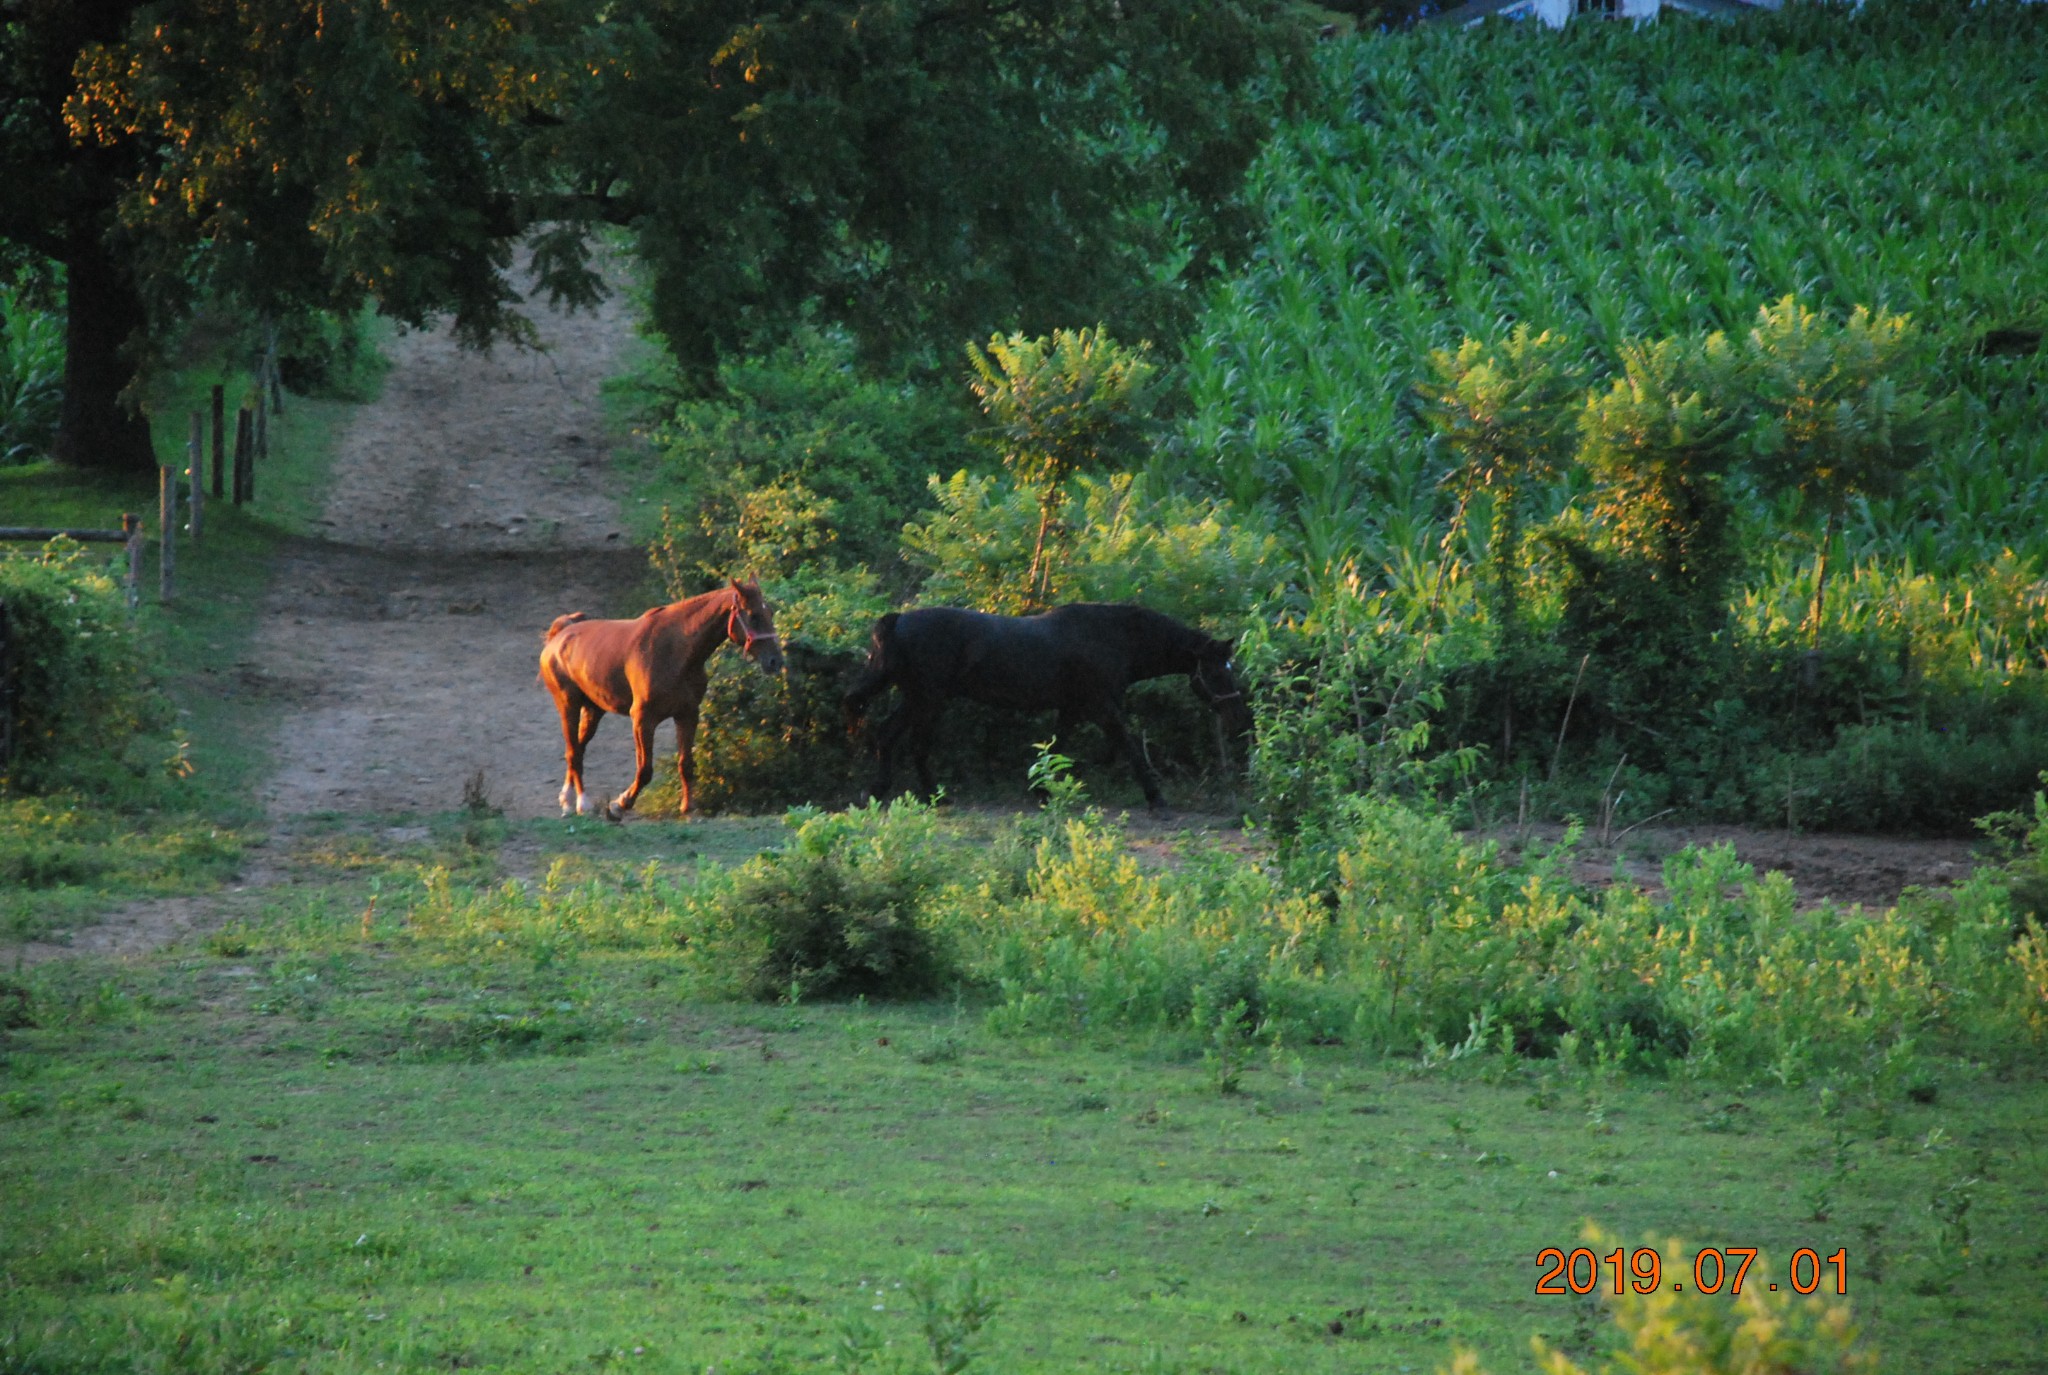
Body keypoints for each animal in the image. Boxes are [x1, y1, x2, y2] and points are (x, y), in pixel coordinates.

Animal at [536, 577, 782, 819]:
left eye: (769, 612)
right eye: (753, 616)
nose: (775, 661)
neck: (675, 651)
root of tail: (561, 634)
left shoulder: (687, 714)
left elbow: (686, 763)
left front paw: (688, 807)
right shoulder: (643, 719)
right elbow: (645, 769)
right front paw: (620, 804)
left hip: (593, 710)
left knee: (578, 747)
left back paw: (567, 799)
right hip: (568, 705)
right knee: (573, 751)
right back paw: (580, 803)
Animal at [835, 598, 1245, 807]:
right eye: (1217, 672)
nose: (1239, 719)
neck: (1113, 638)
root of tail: (899, 619)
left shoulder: (1073, 709)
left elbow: (1057, 746)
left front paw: (1042, 790)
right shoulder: (1102, 707)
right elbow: (1127, 746)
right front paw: (1155, 795)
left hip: (919, 699)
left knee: (890, 736)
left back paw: (889, 791)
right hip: (927, 699)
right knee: (910, 743)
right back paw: (924, 794)